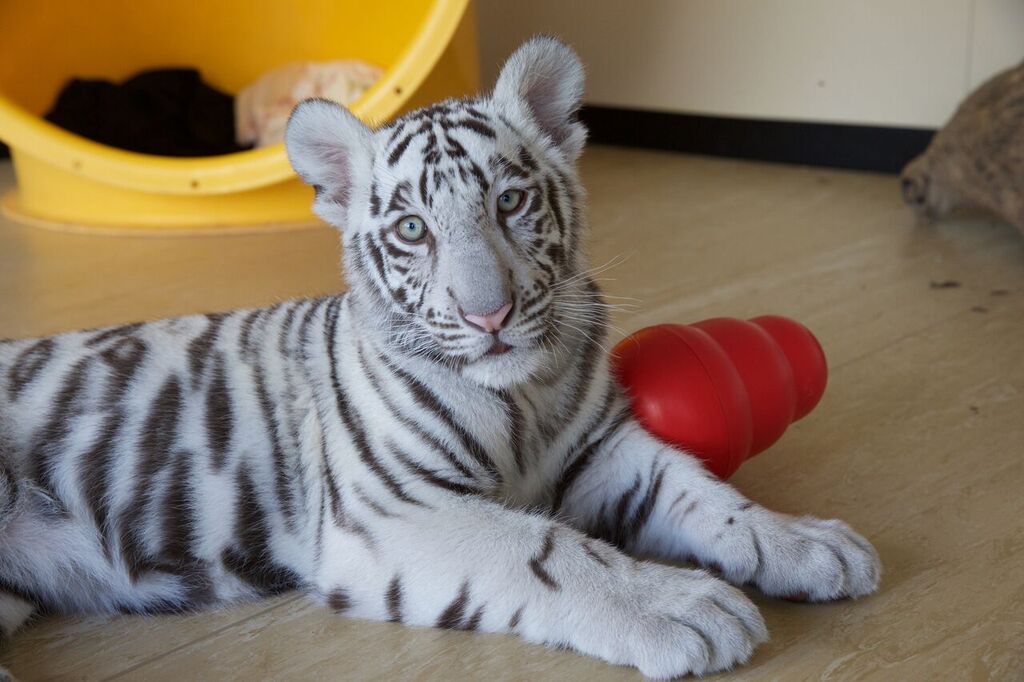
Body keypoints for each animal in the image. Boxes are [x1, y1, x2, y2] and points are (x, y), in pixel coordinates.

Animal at [0, 38, 880, 679]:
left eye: (510, 202)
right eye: (412, 229)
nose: (487, 314)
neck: (523, 399)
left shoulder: (602, 449)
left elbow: (702, 490)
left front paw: (810, 544)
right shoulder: (398, 510)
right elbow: (551, 551)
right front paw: (683, 606)